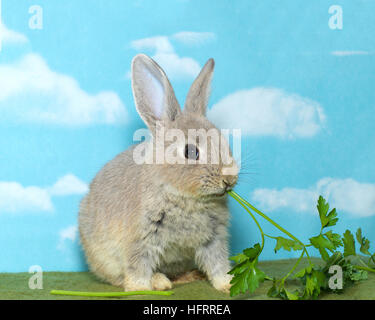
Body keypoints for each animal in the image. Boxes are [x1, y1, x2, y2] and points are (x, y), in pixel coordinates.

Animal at [78, 53, 239, 292]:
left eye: (224, 142)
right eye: (191, 151)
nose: (229, 179)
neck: (183, 196)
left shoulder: (214, 238)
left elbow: (218, 264)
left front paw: (227, 285)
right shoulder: (140, 239)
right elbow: (137, 268)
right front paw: (140, 289)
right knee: (117, 277)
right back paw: (160, 281)